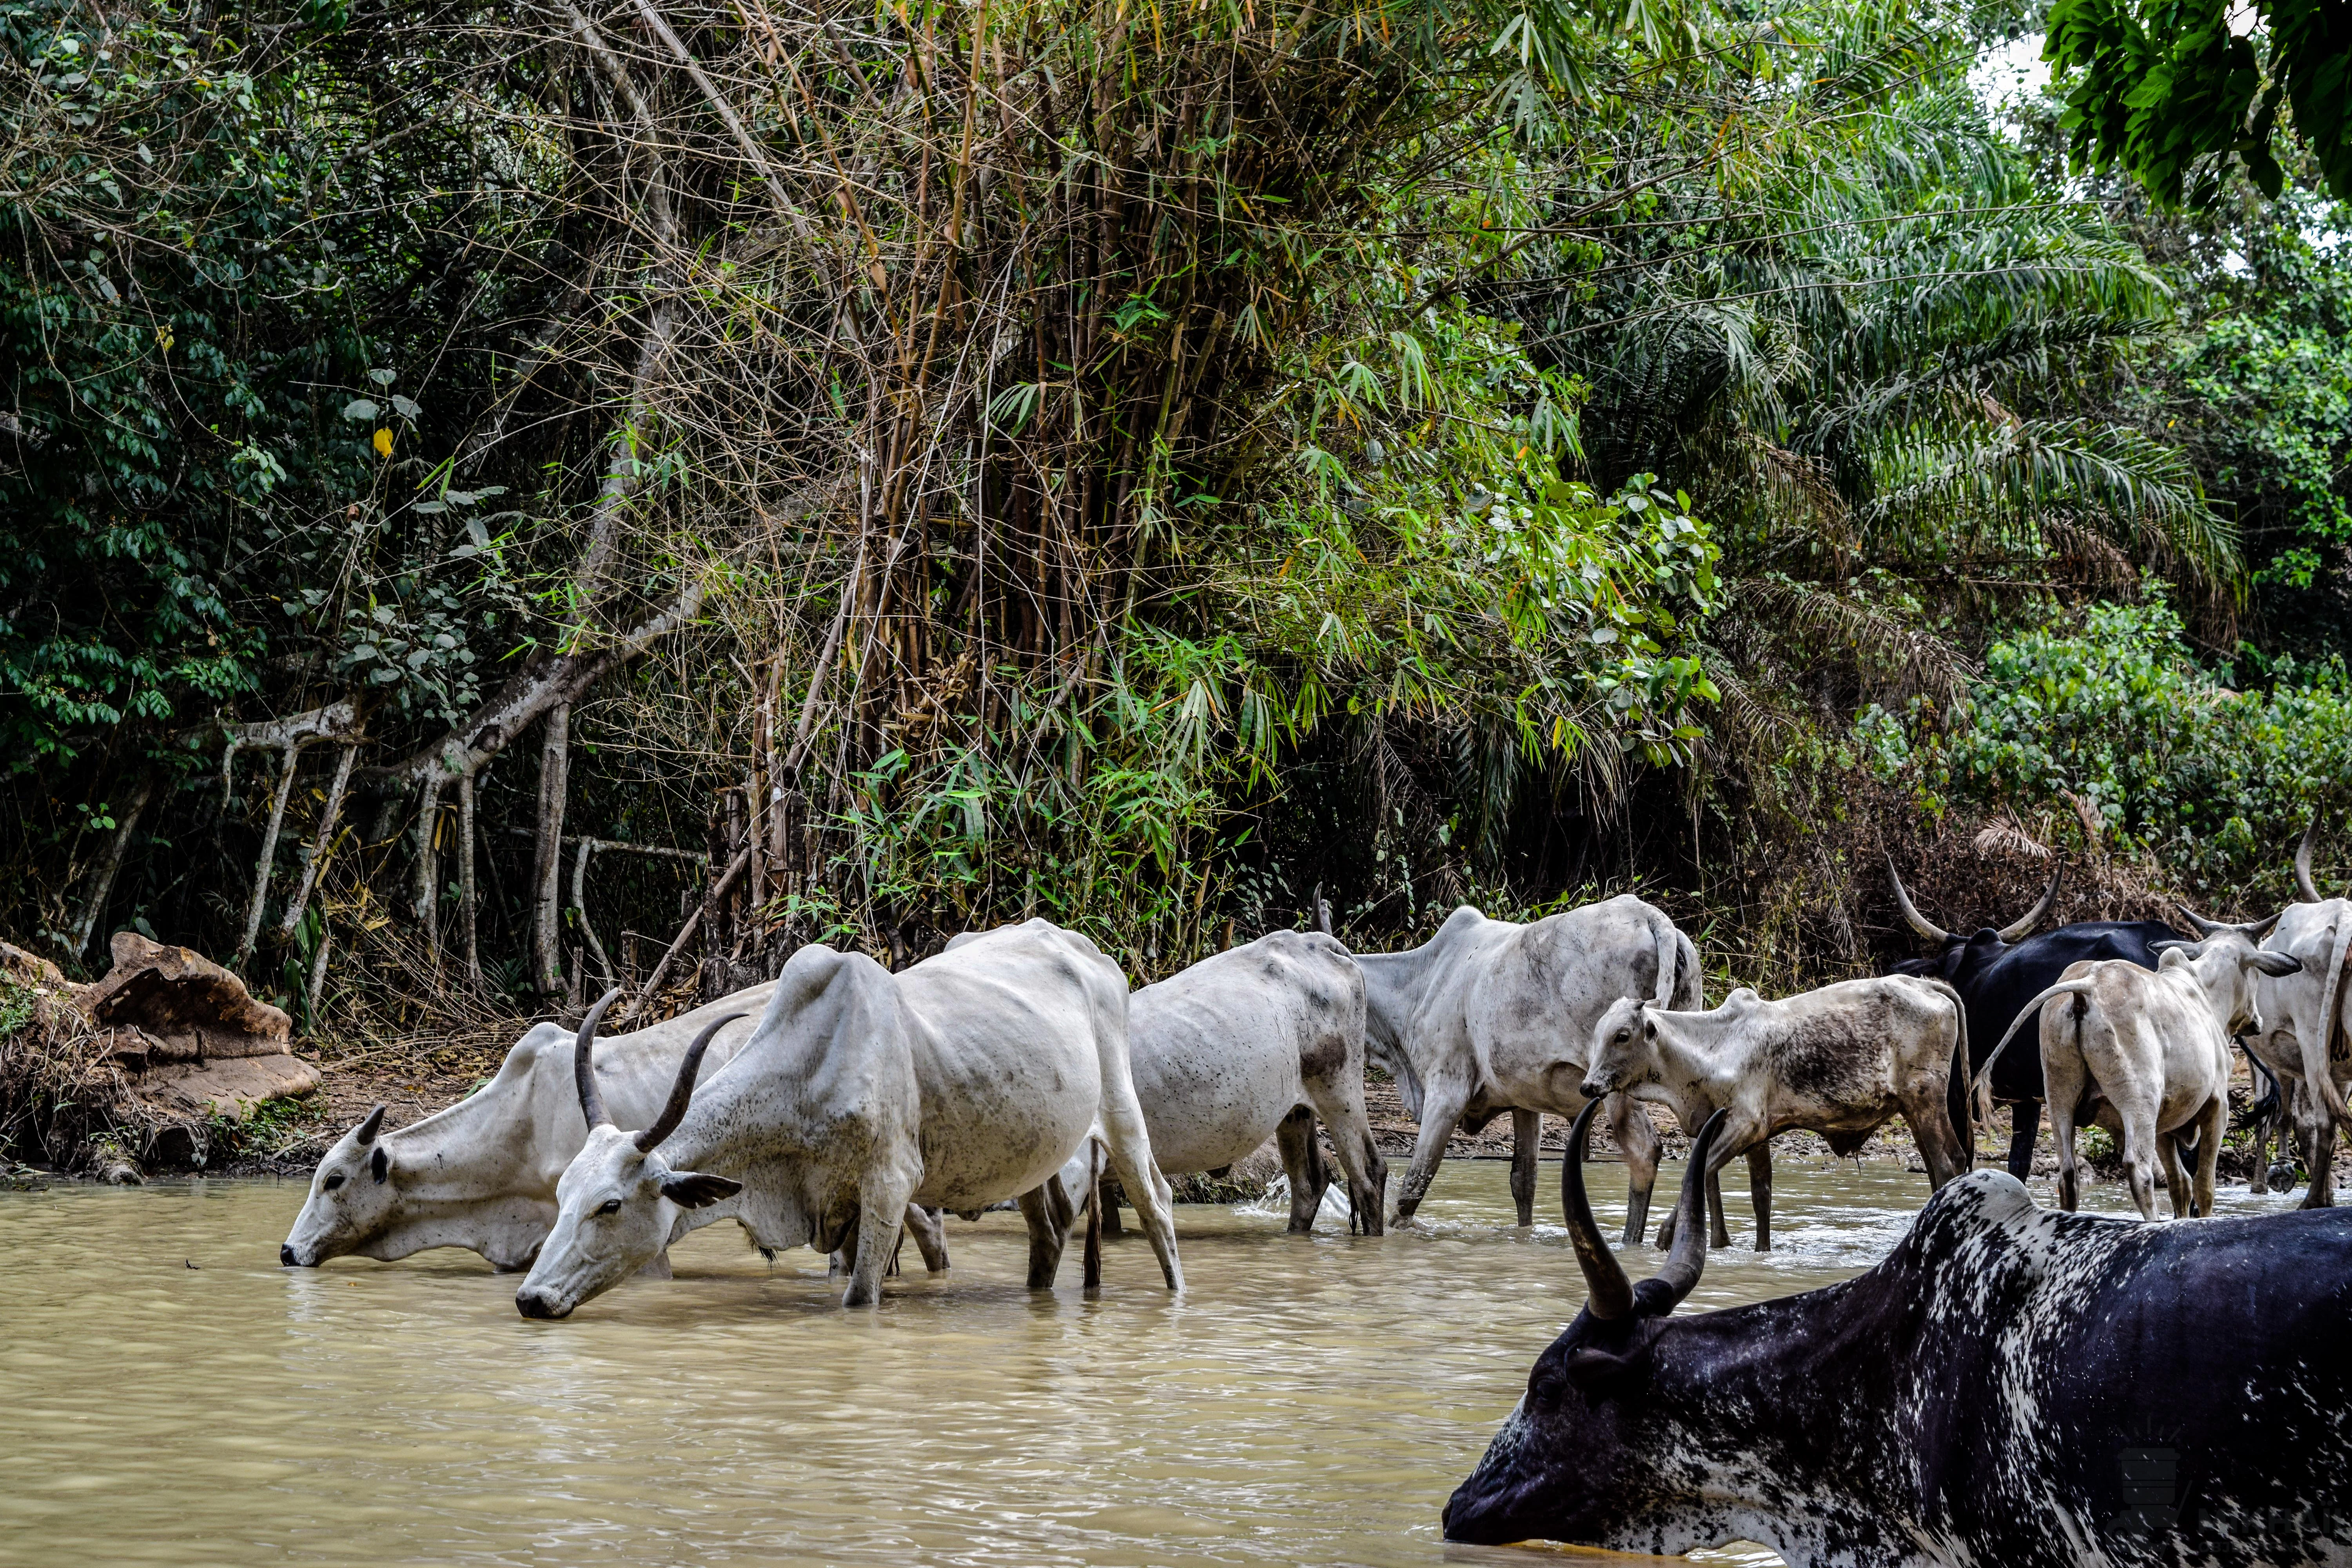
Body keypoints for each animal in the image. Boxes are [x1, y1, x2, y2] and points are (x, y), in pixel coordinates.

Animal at [513, 919, 1181, 1316]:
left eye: (610, 1206)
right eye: (562, 1193)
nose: (531, 1298)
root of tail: (1086, 949)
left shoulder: (889, 1185)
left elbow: (860, 1298)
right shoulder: (846, 1203)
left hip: (1122, 1117)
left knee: (1157, 1206)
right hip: (1033, 1157)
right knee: (1049, 1233)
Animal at [1352, 896, 1706, 1244]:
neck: (1422, 983)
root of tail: (1650, 915)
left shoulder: (1446, 1091)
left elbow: (1416, 1182)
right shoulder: (1525, 1102)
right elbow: (1524, 1182)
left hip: (1616, 1081)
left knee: (1645, 1153)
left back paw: (1631, 1242)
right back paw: (1671, 1235)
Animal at [1581, 975, 1970, 1250]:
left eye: (1622, 1036)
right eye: (1598, 1033)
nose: (1588, 1086)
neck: (1714, 1047)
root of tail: (1924, 984)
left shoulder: (1746, 1125)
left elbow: (1700, 1171)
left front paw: (1665, 1235)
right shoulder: (1752, 1135)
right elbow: (1758, 1195)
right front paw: (1749, 1249)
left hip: (1926, 1099)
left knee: (1949, 1161)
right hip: (1913, 1110)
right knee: (1936, 1167)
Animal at [1975, 909, 2298, 1221]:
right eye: (2256, 973)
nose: (2257, 1021)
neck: (2203, 991)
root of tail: (2088, 985)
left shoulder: (2166, 1123)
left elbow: (2180, 1184)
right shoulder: (2217, 1107)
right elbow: (2203, 1186)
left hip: (2058, 1096)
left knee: (2067, 1173)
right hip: (2140, 1099)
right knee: (2138, 1169)